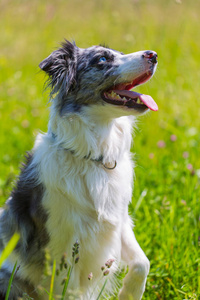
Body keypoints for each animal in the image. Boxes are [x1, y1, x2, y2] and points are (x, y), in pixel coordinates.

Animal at [0, 40, 158, 300]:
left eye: (121, 53)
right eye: (102, 59)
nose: (153, 55)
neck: (94, 158)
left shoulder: (119, 220)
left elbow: (141, 263)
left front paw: (130, 294)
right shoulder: (62, 243)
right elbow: (69, 290)